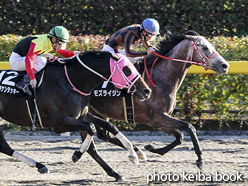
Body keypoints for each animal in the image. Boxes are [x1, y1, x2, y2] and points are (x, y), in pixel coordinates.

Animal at [0, 50, 151, 180]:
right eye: (127, 69)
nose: (147, 91)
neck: (71, 82)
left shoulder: (82, 116)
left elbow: (107, 128)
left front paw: (129, 158)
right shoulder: (59, 123)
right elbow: (91, 130)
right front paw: (77, 154)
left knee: (4, 147)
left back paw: (40, 166)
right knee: (4, 146)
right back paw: (40, 165)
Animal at [74, 30, 230, 170]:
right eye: (204, 47)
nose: (225, 65)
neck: (159, 79)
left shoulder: (157, 122)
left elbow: (179, 136)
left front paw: (153, 148)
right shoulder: (157, 118)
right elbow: (189, 127)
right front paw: (200, 159)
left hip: (97, 112)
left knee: (102, 135)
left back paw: (136, 151)